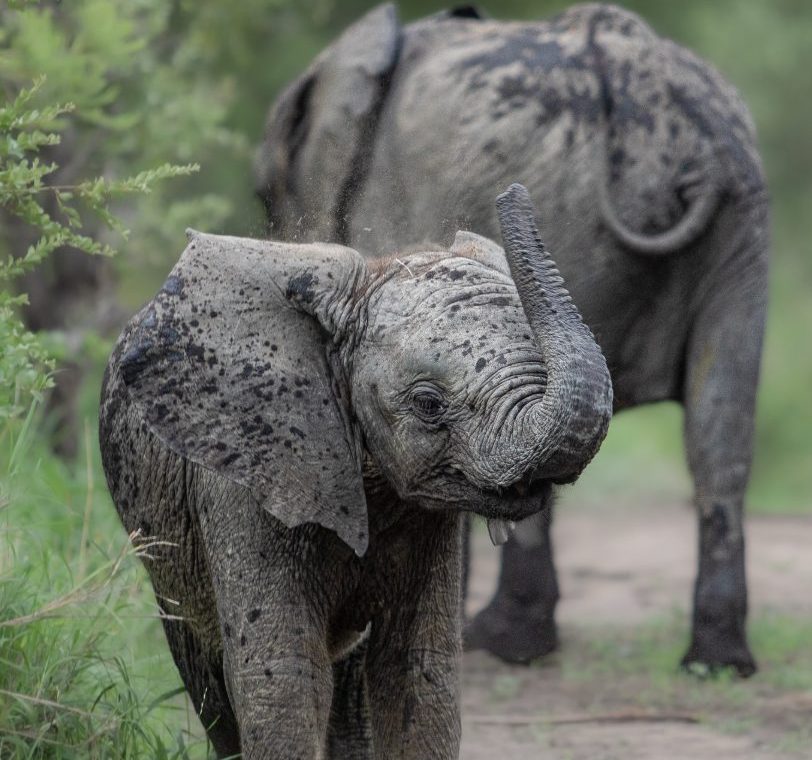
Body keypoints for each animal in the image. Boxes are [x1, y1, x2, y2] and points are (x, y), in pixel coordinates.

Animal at [99, 185, 613, 759]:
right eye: (428, 404)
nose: (511, 193)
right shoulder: (246, 479)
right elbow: (282, 677)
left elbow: (418, 673)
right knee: (206, 673)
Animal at [254, 3, 770, 676]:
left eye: (264, 193)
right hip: (742, 220)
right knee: (721, 428)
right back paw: (715, 664)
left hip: (569, 204)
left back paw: (505, 642)